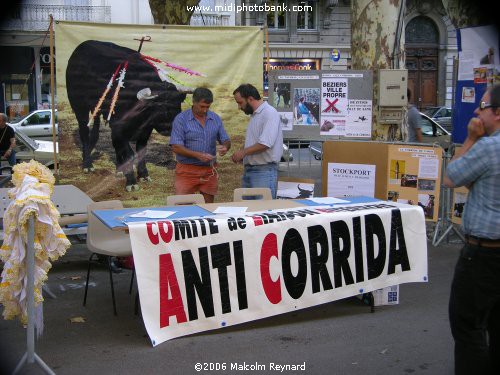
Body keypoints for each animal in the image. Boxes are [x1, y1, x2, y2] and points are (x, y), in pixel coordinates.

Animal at [64, 40, 186, 191]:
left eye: (178, 104)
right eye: (158, 106)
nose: (168, 128)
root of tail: (80, 49)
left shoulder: (144, 131)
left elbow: (140, 151)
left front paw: (143, 175)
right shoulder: (118, 128)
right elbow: (129, 154)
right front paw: (131, 182)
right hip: (79, 107)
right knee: (84, 133)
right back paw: (87, 165)